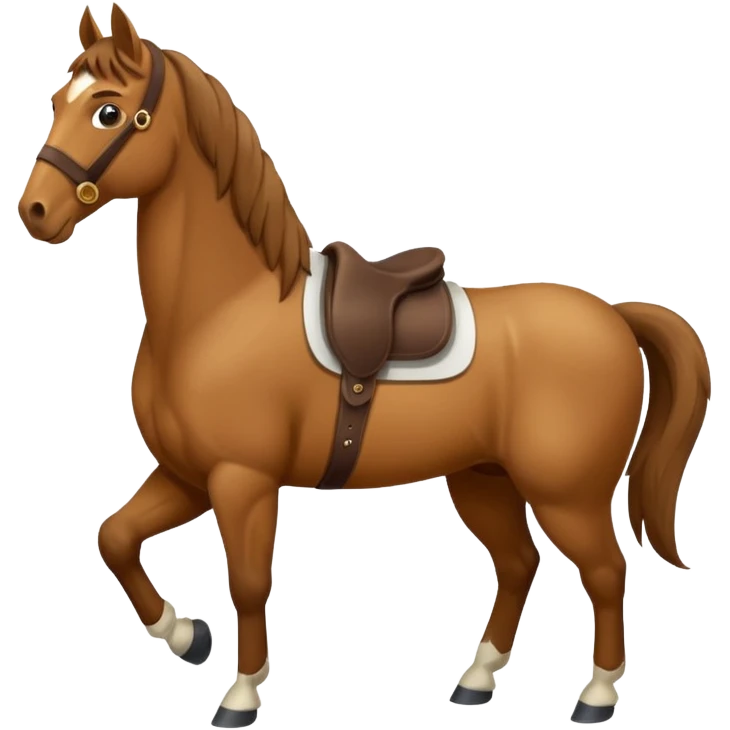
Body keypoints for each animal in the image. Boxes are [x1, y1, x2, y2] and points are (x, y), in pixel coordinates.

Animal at [17, 4, 712, 727]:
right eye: (57, 101)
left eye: (107, 110)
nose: (34, 211)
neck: (222, 310)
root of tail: (615, 316)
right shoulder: (186, 475)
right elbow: (115, 537)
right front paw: (187, 637)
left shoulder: (242, 480)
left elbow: (248, 581)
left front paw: (240, 694)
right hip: (484, 479)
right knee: (519, 564)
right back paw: (475, 682)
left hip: (566, 494)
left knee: (606, 571)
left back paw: (597, 696)